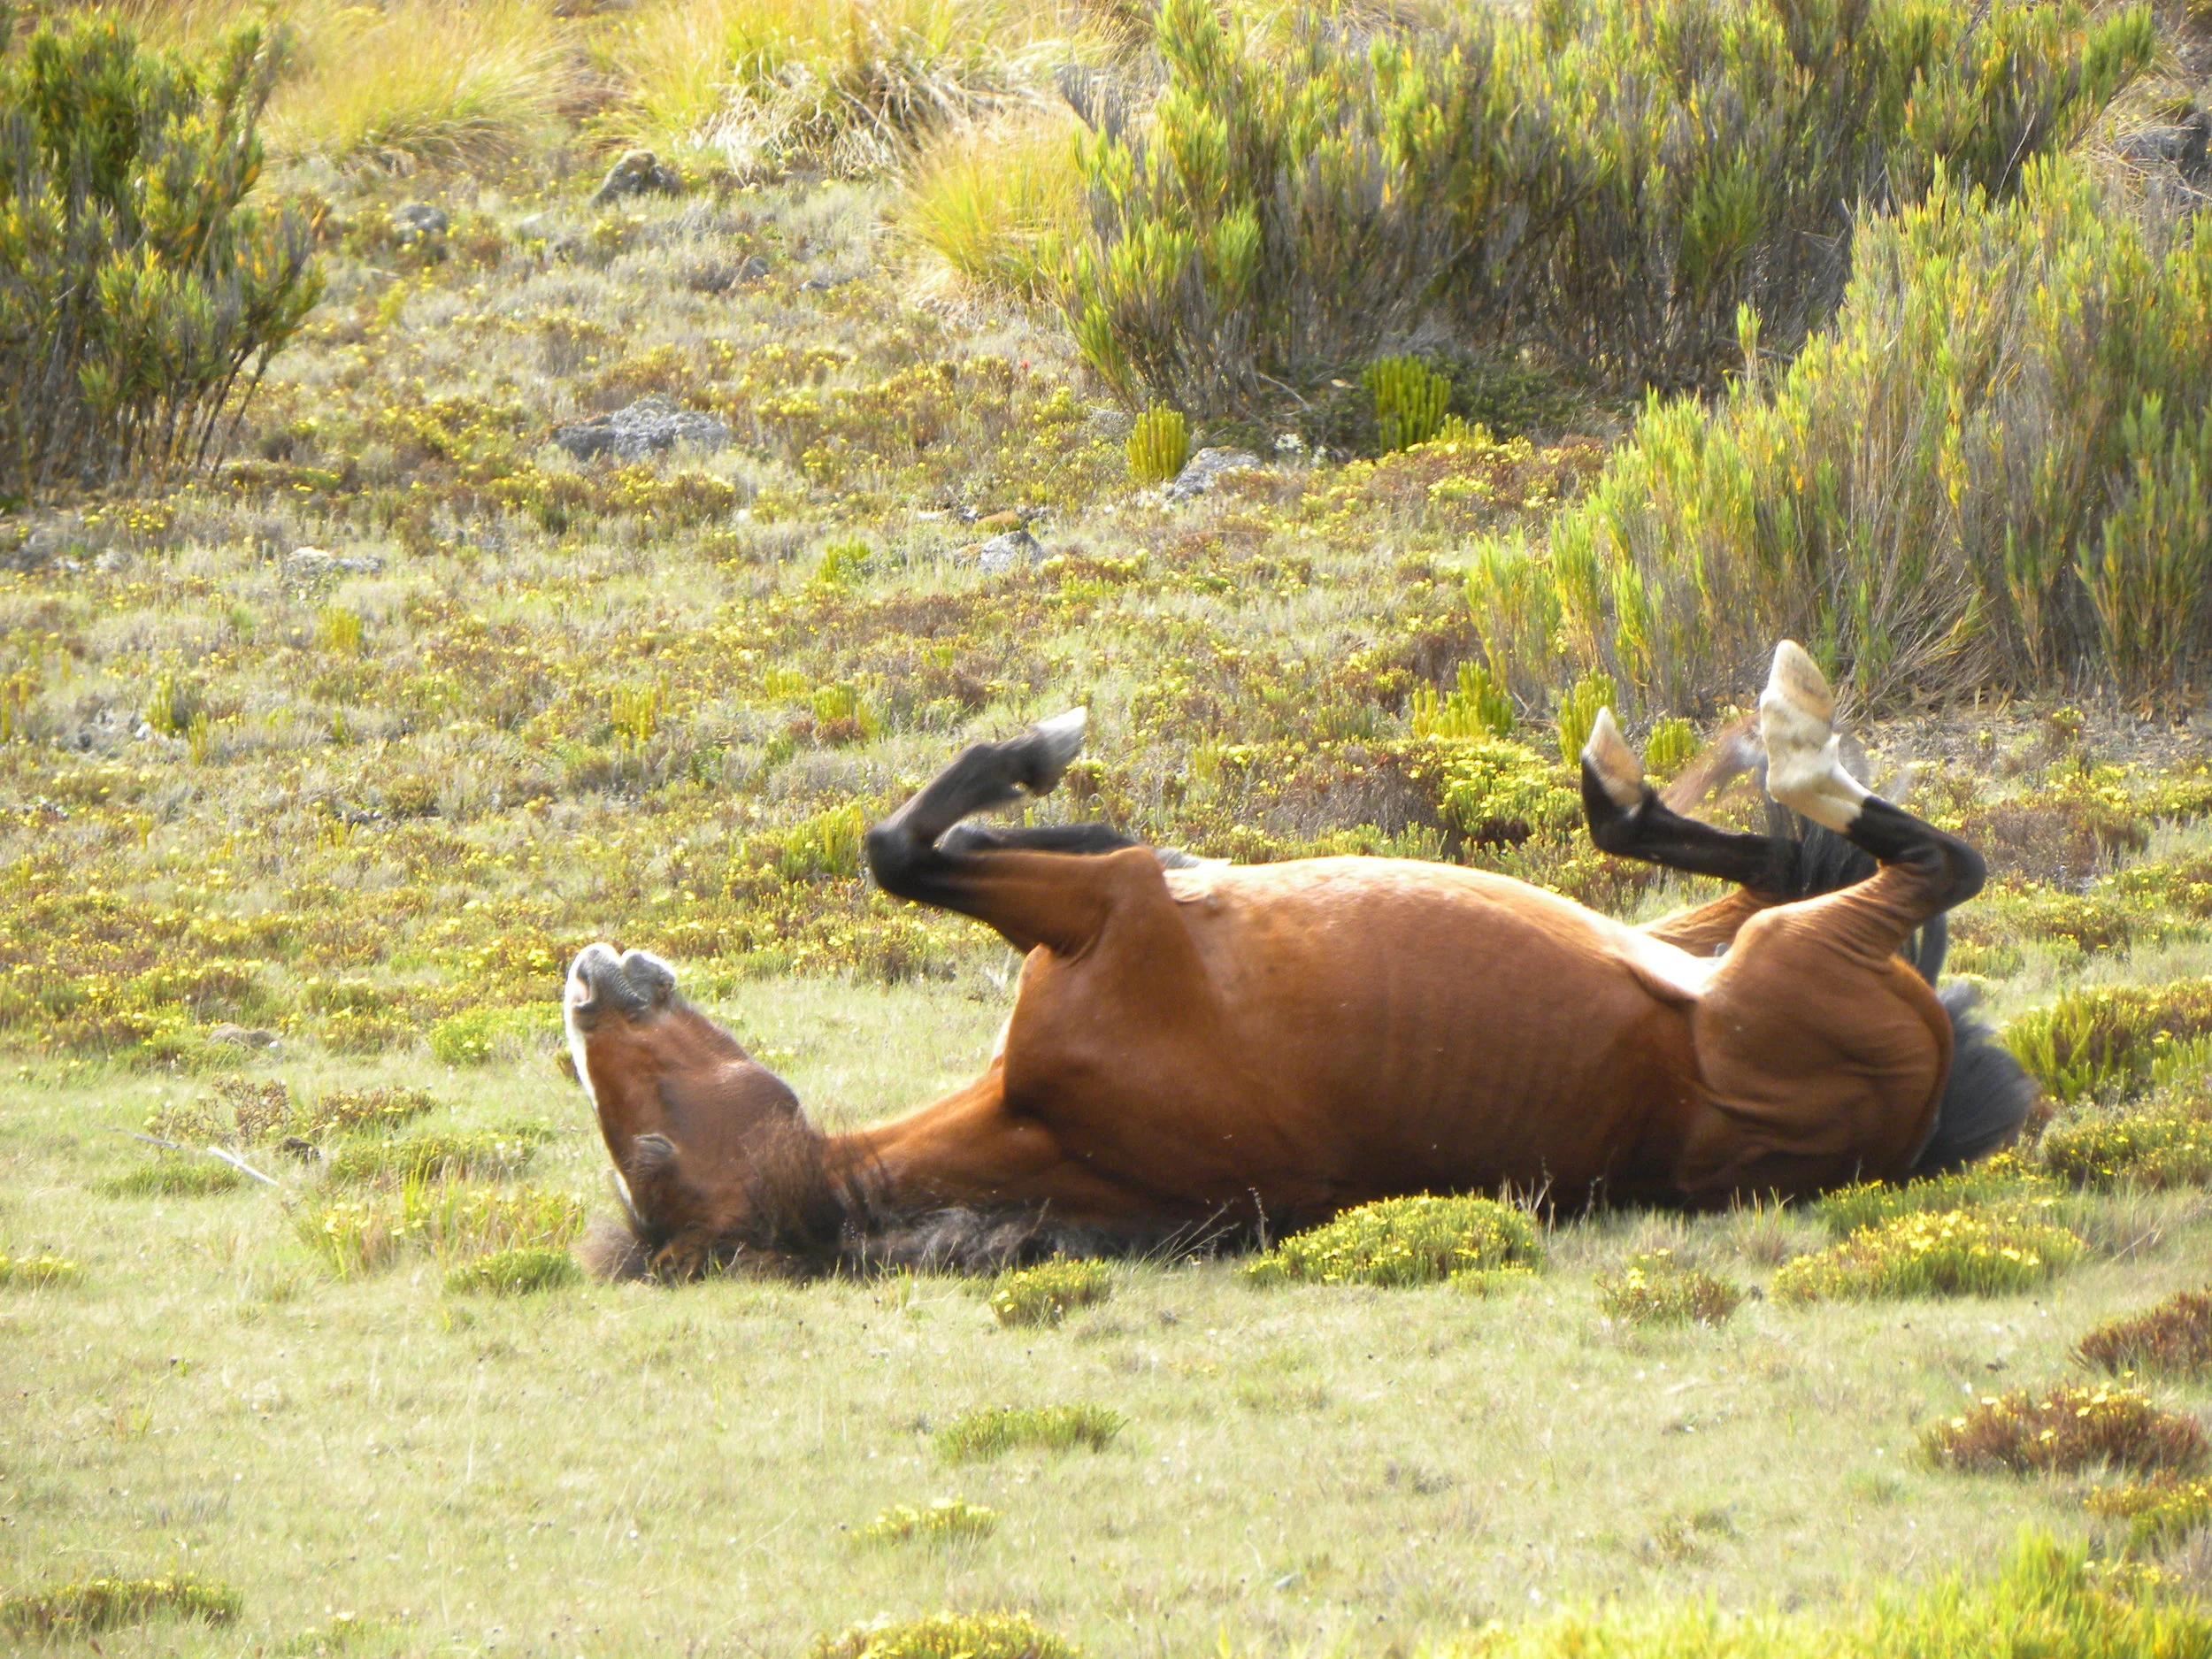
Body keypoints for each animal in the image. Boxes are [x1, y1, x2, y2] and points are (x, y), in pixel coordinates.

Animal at [563, 641, 2034, 1280]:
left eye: (640, 1120)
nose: (587, 982)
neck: (1049, 1125)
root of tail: (1916, 1122)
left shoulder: (1098, 899)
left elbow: (917, 846)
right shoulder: (1109, 909)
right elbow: (907, 849)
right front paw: (1042, 747)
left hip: (1704, 941)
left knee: (1769, 866)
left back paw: (1664, 779)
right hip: (1790, 967)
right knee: (1915, 869)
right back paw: (1787, 741)